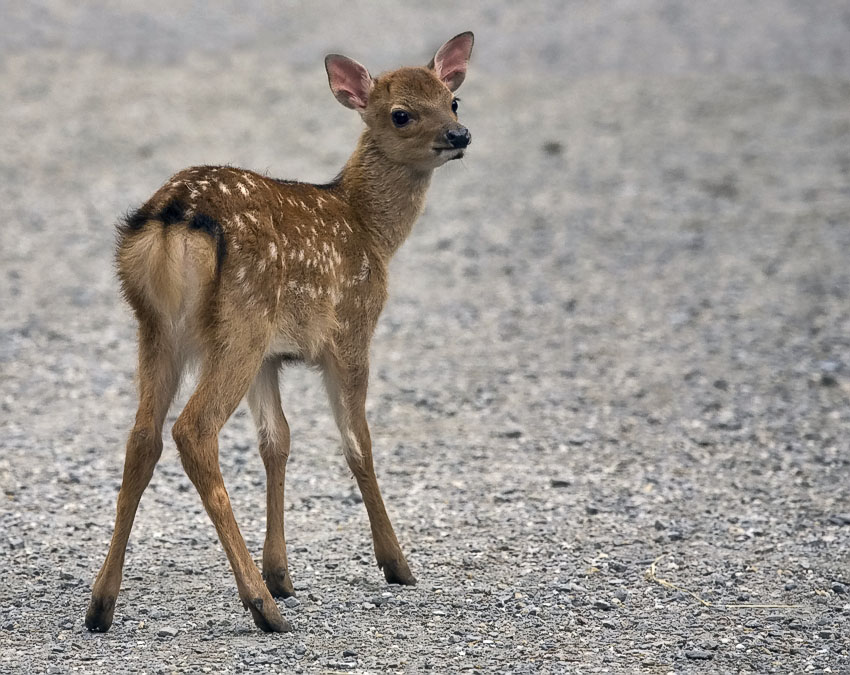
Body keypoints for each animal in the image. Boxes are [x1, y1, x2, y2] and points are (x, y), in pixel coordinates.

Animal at [83, 31, 474, 632]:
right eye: (401, 114)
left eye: (452, 100)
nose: (460, 134)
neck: (369, 229)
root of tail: (173, 216)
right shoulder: (351, 330)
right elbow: (358, 443)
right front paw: (396, 564)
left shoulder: (272, 355)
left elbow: (277, 441)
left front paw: (282, 575)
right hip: (238, 325)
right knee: (192, 430)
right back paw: (260, 608)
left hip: (157, 328)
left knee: (143, 435)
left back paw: (101, 604)